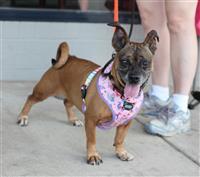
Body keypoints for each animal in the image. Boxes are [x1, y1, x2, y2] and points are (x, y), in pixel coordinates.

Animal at [18, 23, 159, 165]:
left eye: (145, 63)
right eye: (124, 62)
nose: (134, 78)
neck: (121, 94)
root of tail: (69, 58)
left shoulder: (125, 123)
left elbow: (119, 139)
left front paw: (121, 152)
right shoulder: (91, 120)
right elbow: (92, 140)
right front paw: (93, 155)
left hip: (74, 94)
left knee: (66, 103)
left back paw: (73, 119)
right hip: (43, 92)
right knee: (30, 98)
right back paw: (23, 117)